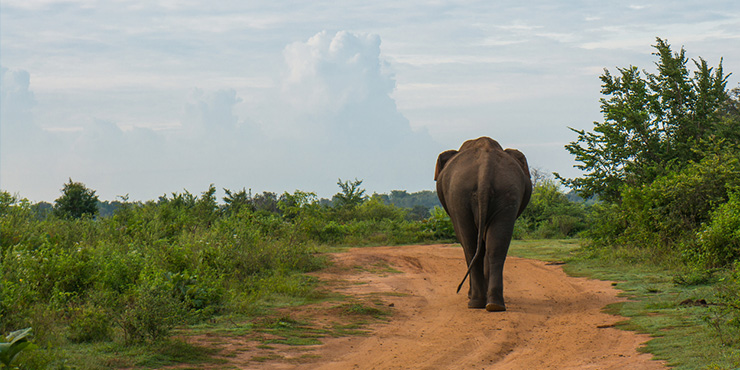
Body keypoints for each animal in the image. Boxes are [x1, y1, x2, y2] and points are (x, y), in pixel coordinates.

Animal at [434, 137, 532, 310]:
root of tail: (485, 167)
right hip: (507, 191)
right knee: (496, 246)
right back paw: (494, 305)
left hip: (459, 196)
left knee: (470, 246)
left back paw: (476, 302)